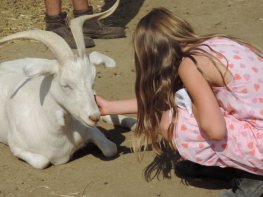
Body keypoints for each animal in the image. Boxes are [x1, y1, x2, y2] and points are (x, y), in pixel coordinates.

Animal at [0, 0, 120, 169]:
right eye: (66, 85)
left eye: (93, 81)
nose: (94, 117)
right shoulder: (17, 147)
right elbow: (42, 162)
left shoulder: (91, 130)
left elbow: (111, 148)